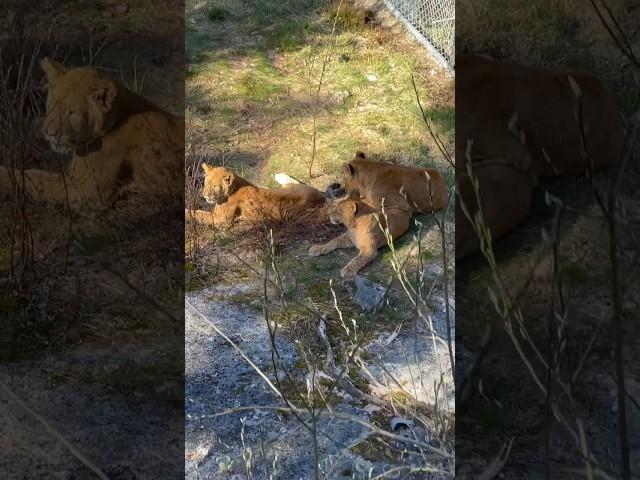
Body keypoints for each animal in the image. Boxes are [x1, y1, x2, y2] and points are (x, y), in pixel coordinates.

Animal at [185, 163, 324, 229]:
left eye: (215, 186)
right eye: (206, 183)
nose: (204, 195)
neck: (237, 184)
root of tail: (321, 198)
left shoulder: (220, 219)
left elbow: (198, 213)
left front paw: (186, 212)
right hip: (292, 188)